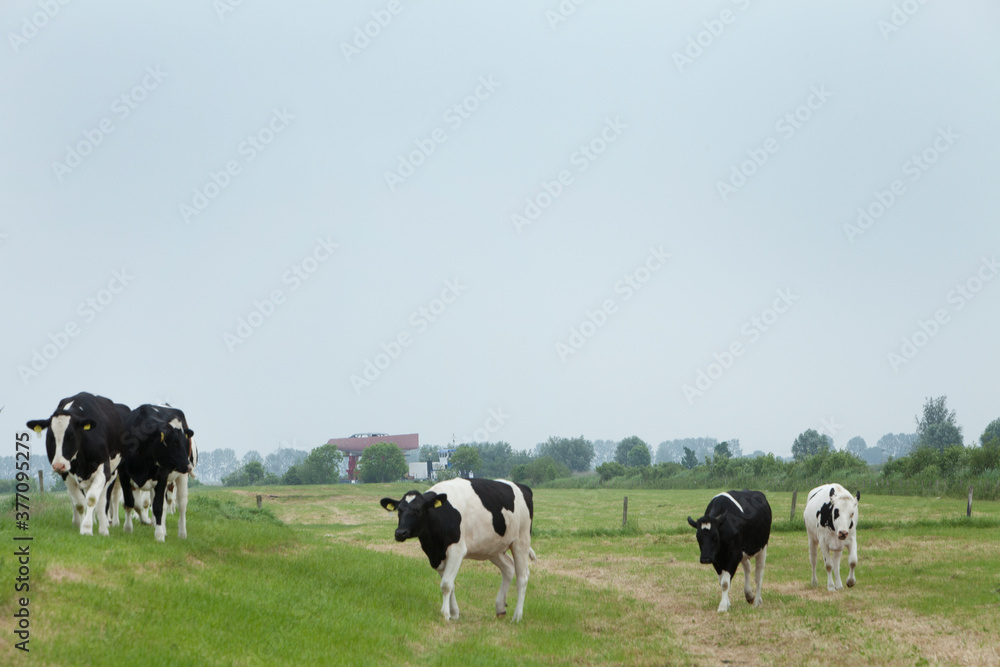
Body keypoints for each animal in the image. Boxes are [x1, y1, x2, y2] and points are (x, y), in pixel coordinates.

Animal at [26, 392, 130, 536]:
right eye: (50, 437)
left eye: (71, 436)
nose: (58, 465)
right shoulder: (66, 474)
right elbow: (80, 503)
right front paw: (82, 526)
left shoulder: (103, 469)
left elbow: (92, 499)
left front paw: (87, 528)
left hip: (112, 473)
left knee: (103, 500)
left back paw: (104, 528)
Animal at [119, 402, 197, 544]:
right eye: (174, 442)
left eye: (184, 442)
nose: (188, 466)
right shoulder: (124, 475)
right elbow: (130, 503)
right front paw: (128, 528)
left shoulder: (162, 476)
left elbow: (158, 507)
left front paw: (159, 535)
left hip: (180, 476)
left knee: (182, 504)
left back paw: (182, 533)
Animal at [378, 478, 536, 624]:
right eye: (399, 511)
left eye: (417, 511)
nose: (400, 533)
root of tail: (523, 487)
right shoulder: (437, 556)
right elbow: (451, 585)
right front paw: (454, 613)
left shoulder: (456, 550)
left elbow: (446, 584)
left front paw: (445, 614)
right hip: (493, 548)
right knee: (508, 568)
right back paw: (500, 608)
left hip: (521, 540)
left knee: (522, 577)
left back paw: (517, 617)